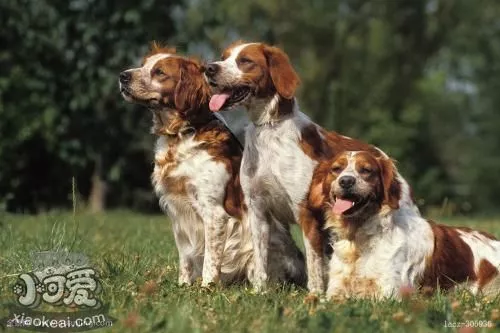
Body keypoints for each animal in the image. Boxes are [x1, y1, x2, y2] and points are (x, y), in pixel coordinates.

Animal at [205, 40, 420, 290]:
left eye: (245, 61)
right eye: (224, 57)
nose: (209, 68)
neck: (269, 129)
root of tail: (385, 159)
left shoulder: (306, 213)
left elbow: (314, 265)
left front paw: (316, 294)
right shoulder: (257, 210)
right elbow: (260, 262)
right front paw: (259, 291)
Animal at [322, 150, 498, 298]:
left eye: (366, 170)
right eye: (336, 169)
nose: (346, 181)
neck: (360, 238)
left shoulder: (389, 294)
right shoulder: (335, 292)